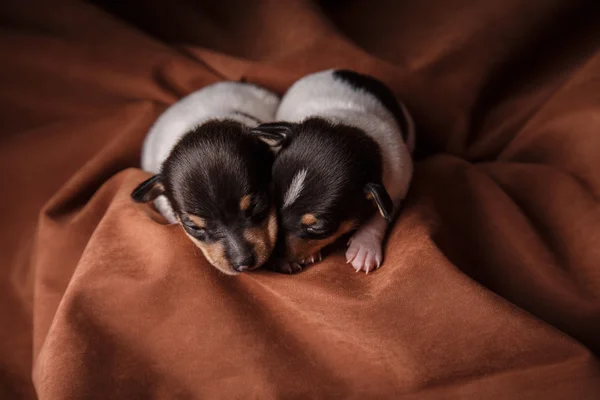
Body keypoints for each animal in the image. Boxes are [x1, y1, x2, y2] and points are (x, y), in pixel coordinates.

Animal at [251, 69, 414, 276]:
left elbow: (380, 216)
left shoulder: (397, 186)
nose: (270, 258)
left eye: (317, 228)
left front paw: (364, 247)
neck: (347, 124)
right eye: (270, 200)